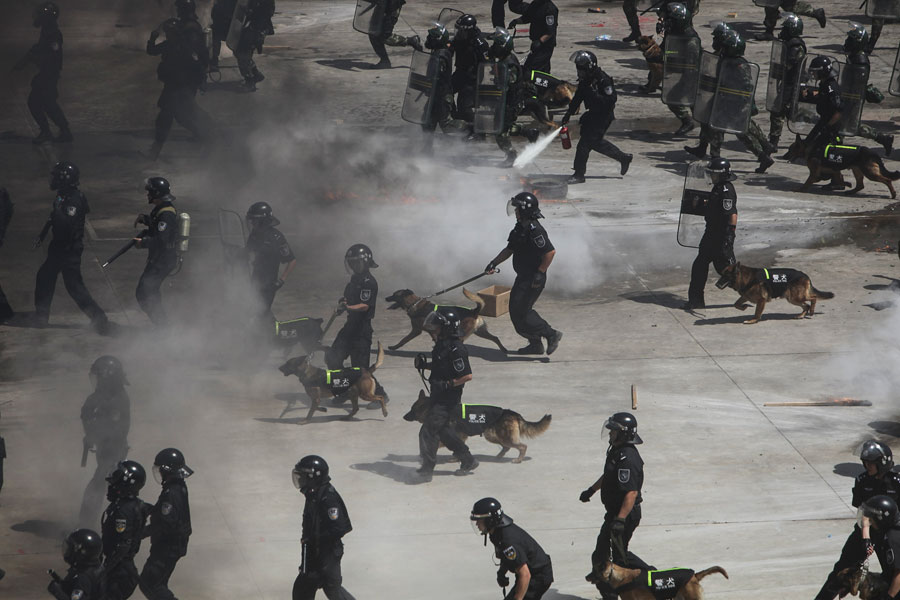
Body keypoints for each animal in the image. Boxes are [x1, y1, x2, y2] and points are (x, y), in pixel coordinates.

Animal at [404, 390, 552, 464]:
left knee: (522, 446)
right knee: (506, 447)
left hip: (501, 436)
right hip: (493, 435)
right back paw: (497, 457)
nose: (404, 417)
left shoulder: (455, 436)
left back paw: (518, 459)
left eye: (412, 410)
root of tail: (512, 413)